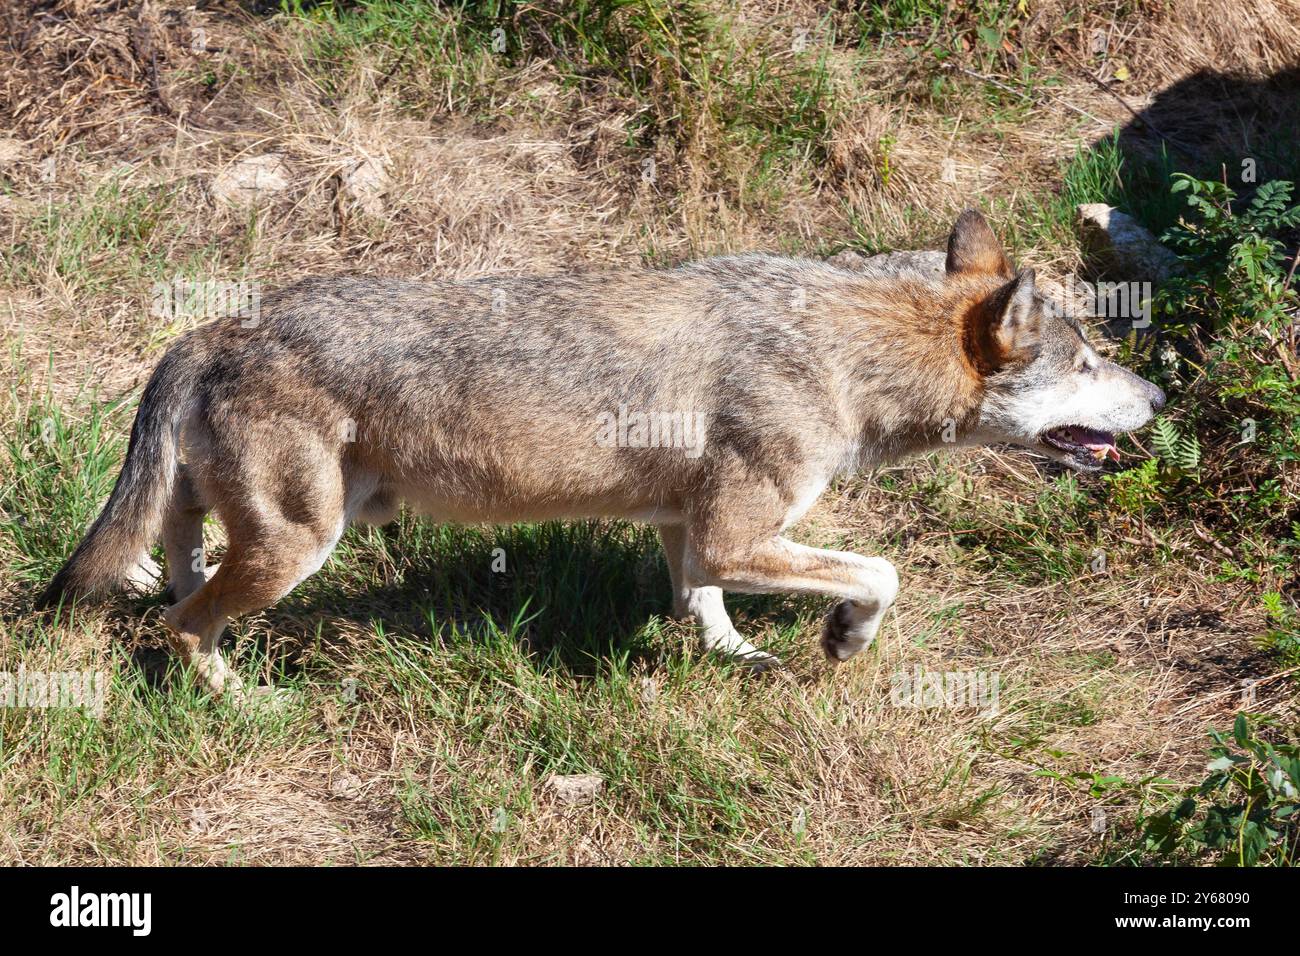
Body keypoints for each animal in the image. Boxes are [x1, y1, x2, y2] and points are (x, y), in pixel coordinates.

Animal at [40, 209, 1164, 697]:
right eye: (1091, 360)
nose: (1158, 395)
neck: (842, 350)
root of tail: (217, 325)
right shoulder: (738, 532)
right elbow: (879, 571)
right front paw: (844, 639)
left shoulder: (692, 531)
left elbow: (701, 606)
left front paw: (740, 658)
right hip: (299, 546)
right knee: (183, 628)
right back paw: (251, 700)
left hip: (249, 524)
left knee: (174, 575)